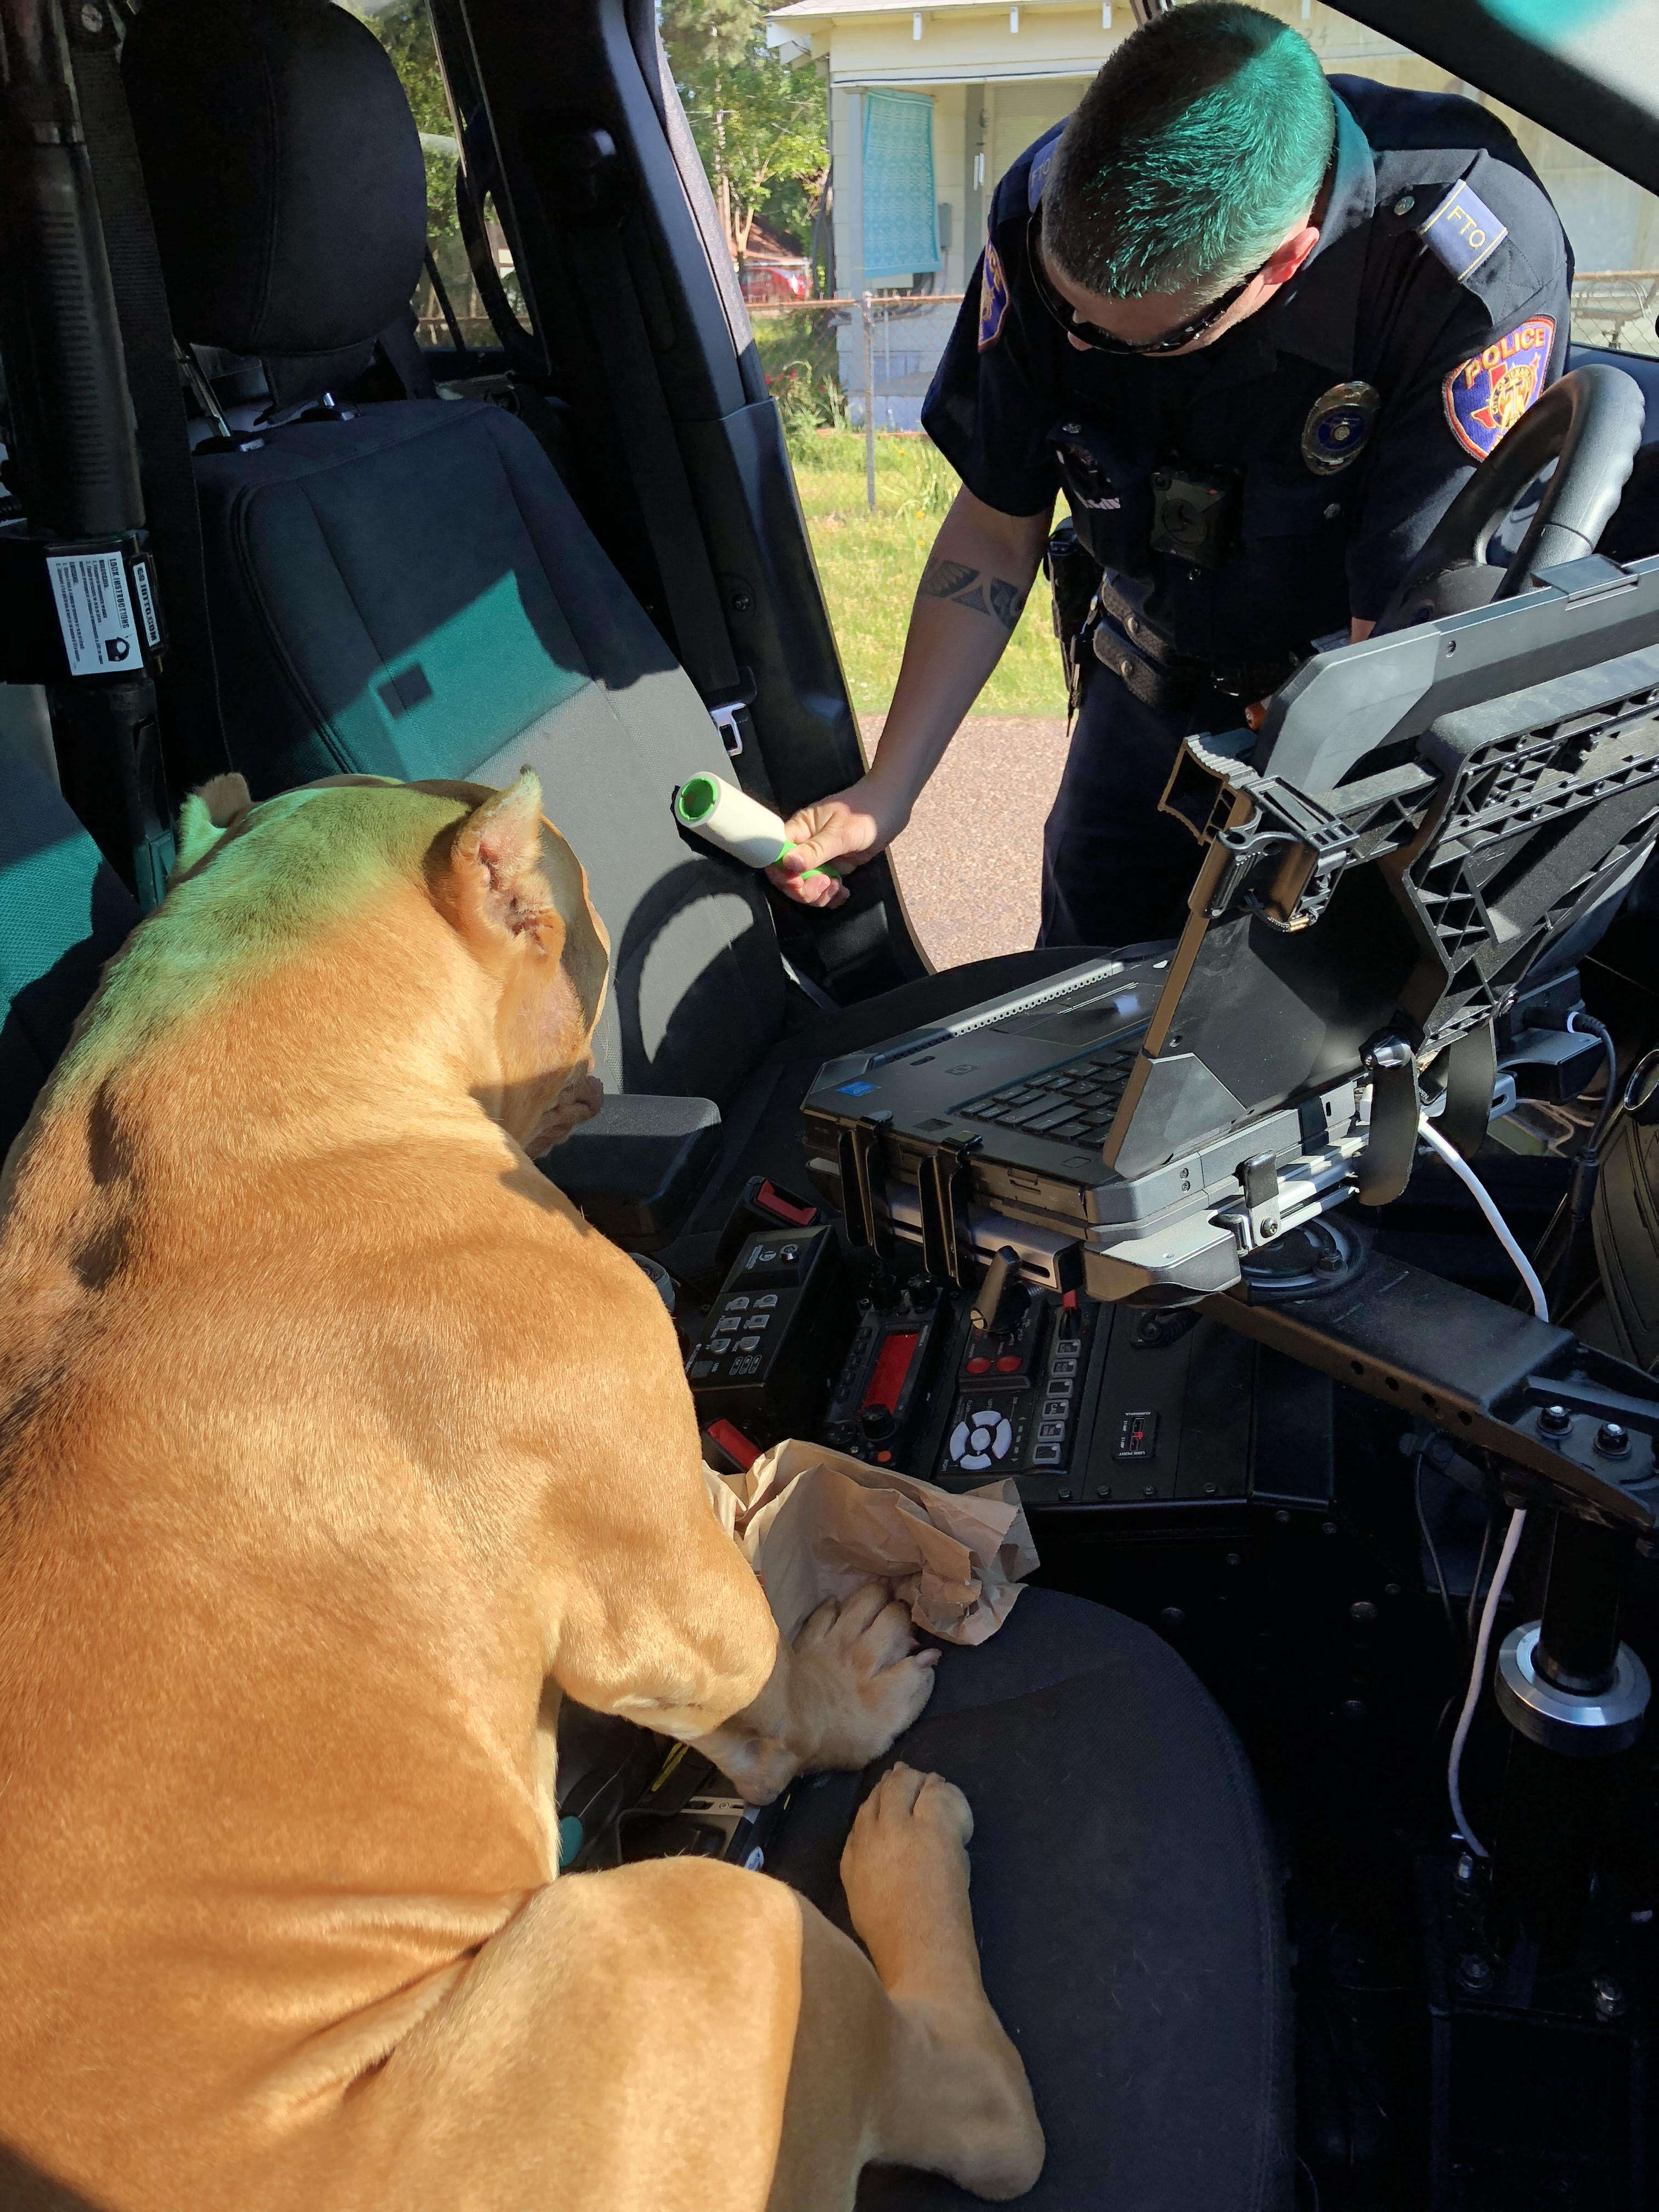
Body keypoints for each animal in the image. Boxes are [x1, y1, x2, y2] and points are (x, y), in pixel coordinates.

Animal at [0, 774, 1040, 2212]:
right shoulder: (669, 1597)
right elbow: (763, 1674)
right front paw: (843, 1690)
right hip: (714, 1940)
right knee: (984, 2114)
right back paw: (903, 1861)